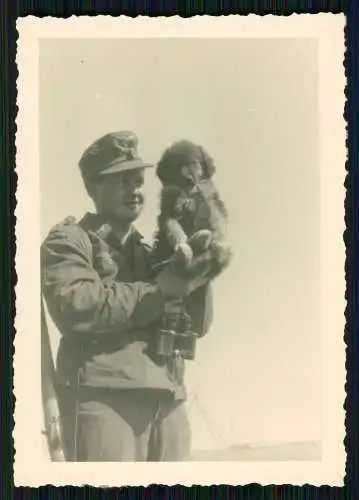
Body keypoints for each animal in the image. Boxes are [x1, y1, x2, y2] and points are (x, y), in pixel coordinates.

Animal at [153, 141, 233, 282]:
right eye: (177, 165)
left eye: (194, 162)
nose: (189, 179)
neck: (188, 194)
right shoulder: (168, 207)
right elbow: (173, 228)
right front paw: (180, 242)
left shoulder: (210, 200)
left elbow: (218, 219)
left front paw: (215, 237)